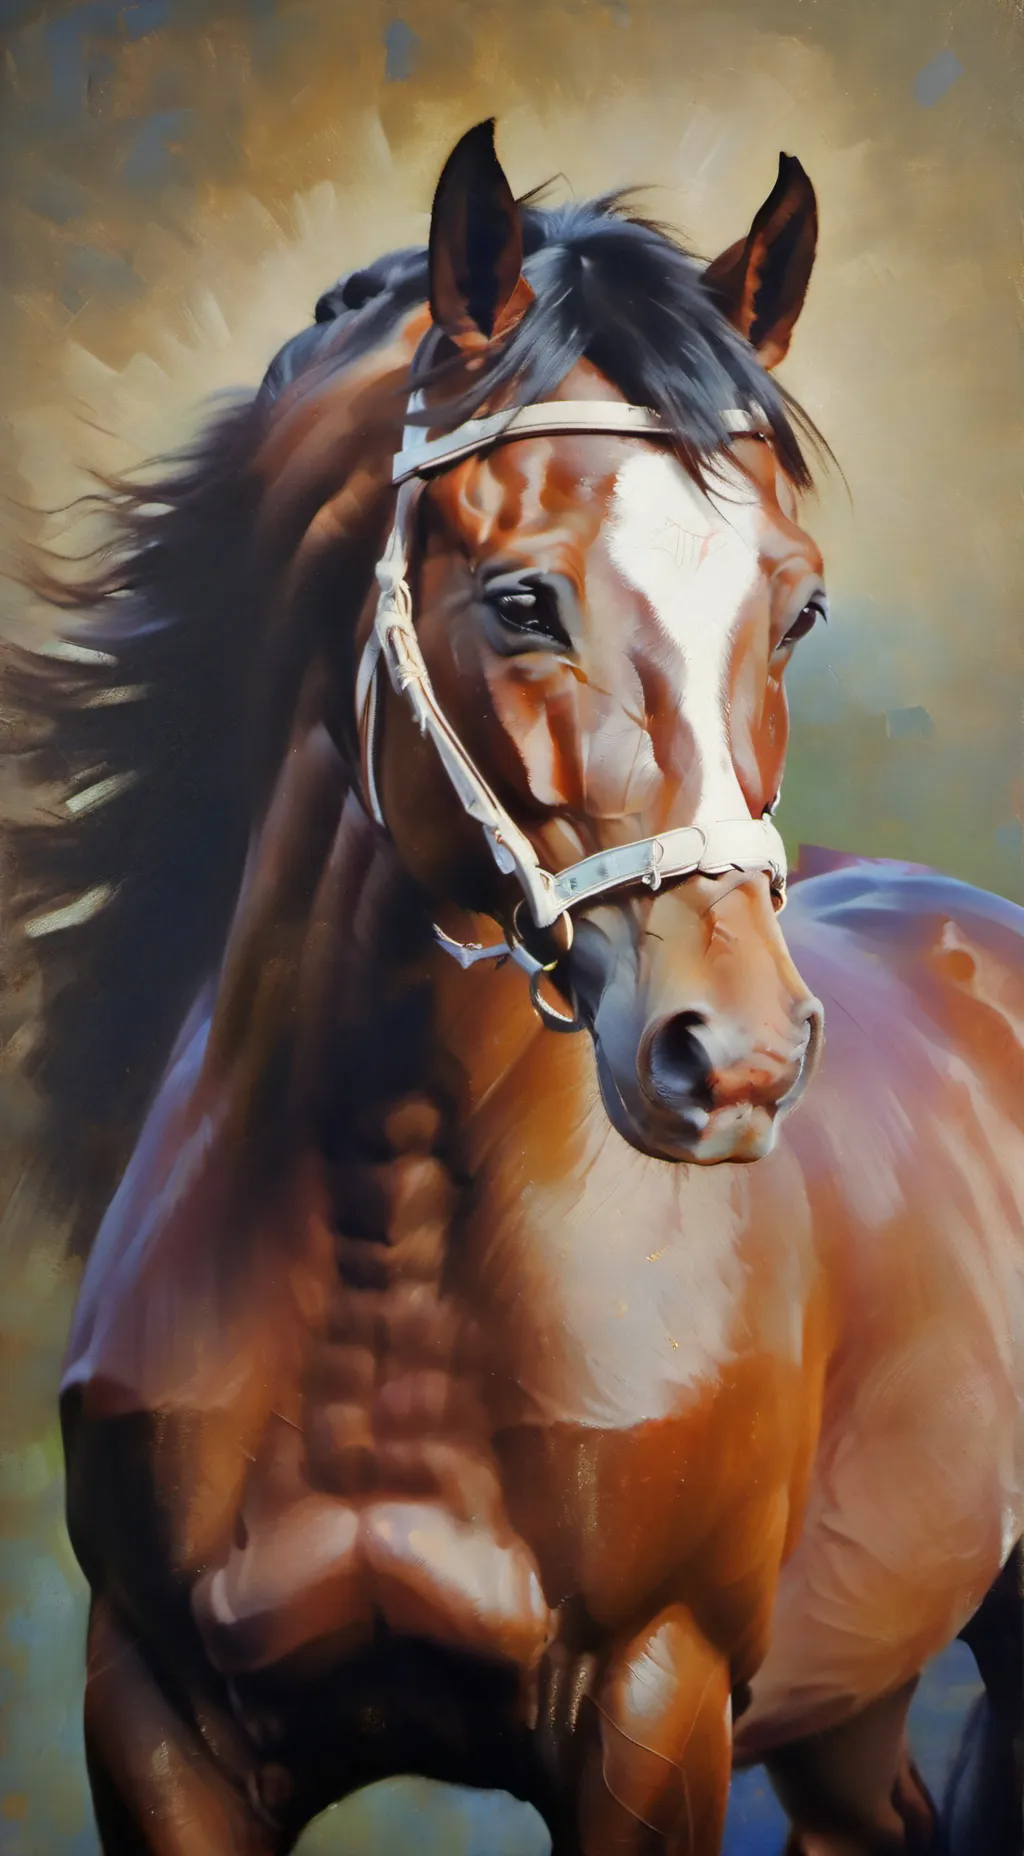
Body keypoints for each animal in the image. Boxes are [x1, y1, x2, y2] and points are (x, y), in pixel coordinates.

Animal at [9, 119, 1023, 1854]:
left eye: (798, 604)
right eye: (522, 600)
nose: (735, 1061)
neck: (389, 1234)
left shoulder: (657, 1705)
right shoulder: (158, 1728)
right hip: (853, 1697)